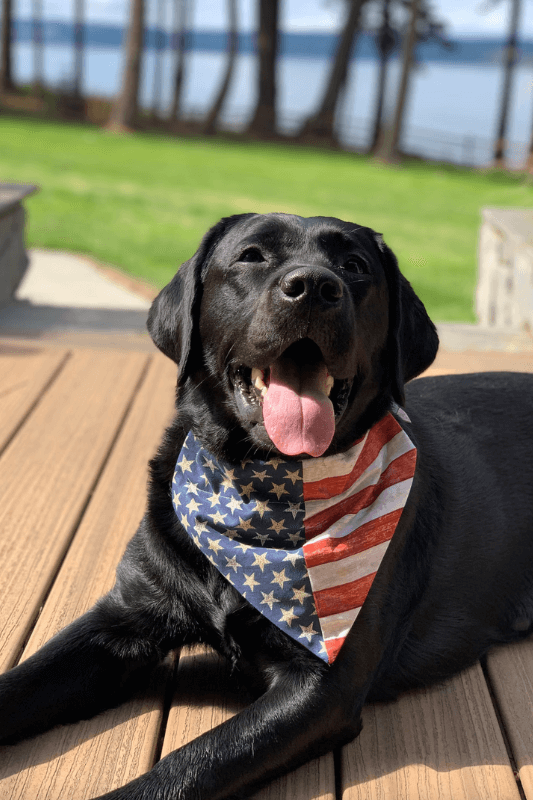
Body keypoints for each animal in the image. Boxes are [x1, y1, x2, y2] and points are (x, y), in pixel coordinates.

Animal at [1, 214, 532, 800]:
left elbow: (189, 764)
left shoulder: (321, 685)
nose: (315, 287)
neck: (259, 487)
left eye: (354, 266)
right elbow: (20, 682)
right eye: (252, 256)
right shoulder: (123, 619)